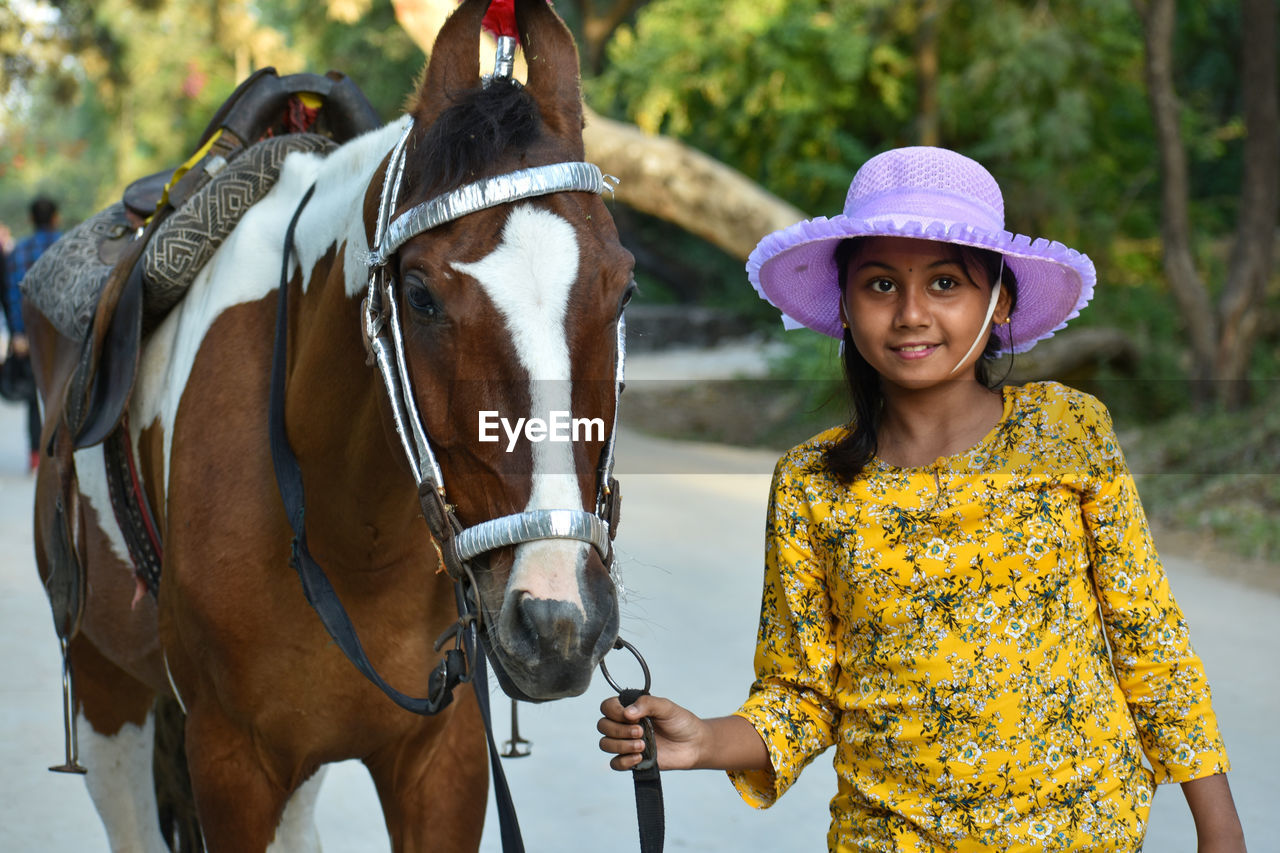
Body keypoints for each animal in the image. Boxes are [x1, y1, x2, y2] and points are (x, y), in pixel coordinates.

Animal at [22, 3, 632, 845]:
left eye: (624, 288)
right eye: (420, 295)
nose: (556, 616)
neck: (355, 536)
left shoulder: (441, 758)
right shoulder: (232, 764)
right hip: (105, 683)